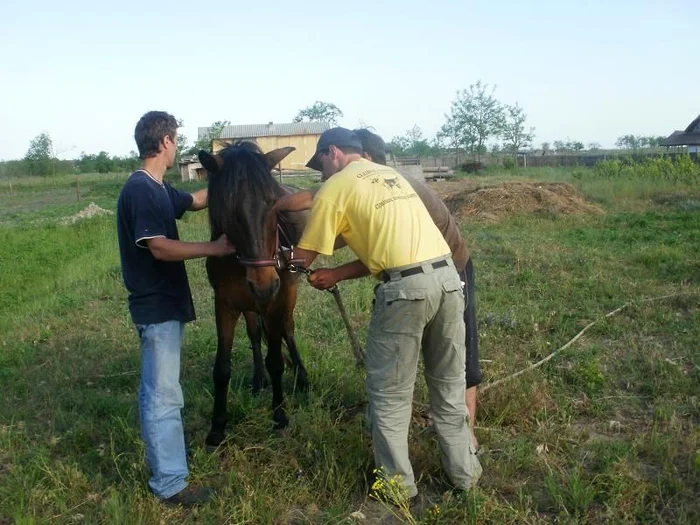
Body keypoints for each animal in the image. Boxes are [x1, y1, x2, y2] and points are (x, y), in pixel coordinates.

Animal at [197, 143, 306, 446]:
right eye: (229, 207)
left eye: (273, 202)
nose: (264, 284)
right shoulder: (225, 305)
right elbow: (222, 368)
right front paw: (217, 427)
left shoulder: (276, 303)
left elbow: (276, 360)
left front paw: (279, 416)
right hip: (250, 304)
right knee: (256, 334)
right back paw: (259, 380)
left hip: (288, 293)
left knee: (288, 330)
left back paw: (302, 377)